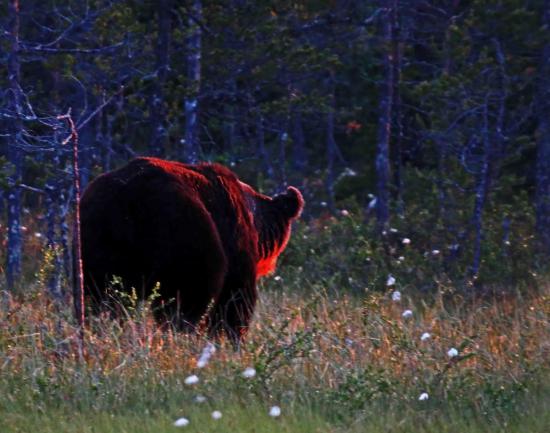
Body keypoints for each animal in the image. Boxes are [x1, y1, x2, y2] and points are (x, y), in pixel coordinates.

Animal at [81, 156, 306, 340]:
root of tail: (129, 200)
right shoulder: (235, 246)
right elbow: (235, 301)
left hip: (98, 236)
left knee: (102, 297)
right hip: (185, 236)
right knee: (185, 301)